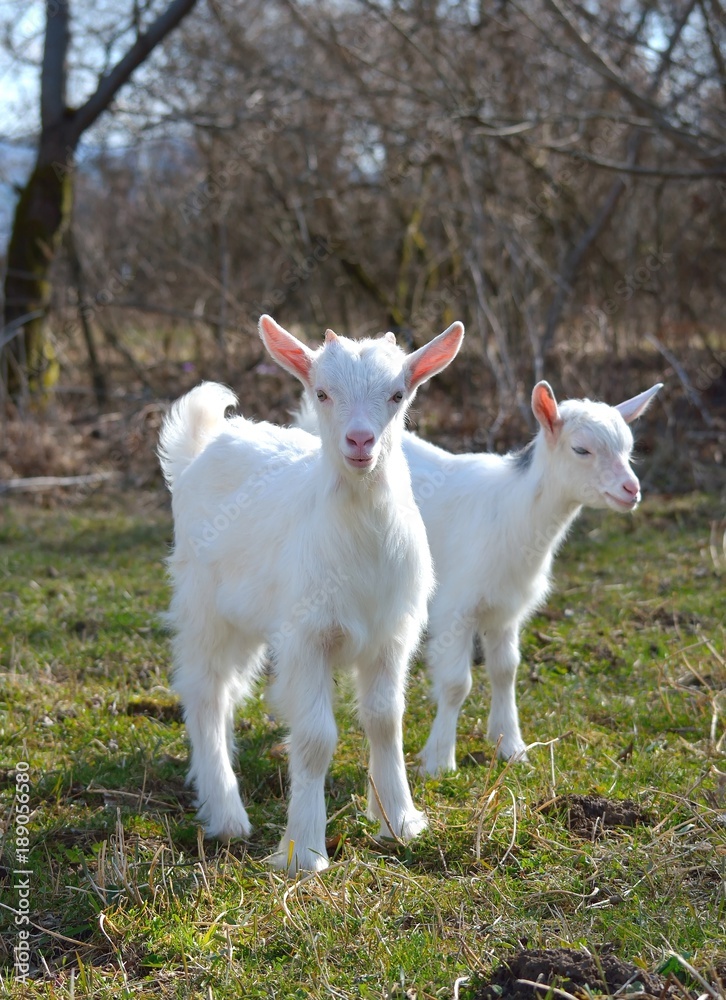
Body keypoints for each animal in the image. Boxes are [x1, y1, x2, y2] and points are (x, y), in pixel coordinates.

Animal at [158, 314, 464, 872]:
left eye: (397, 394)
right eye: (321, 392)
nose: (360, 441)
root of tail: (205, 447)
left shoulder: (391, 635)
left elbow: (386, 720)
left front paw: (400, 822)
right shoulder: (307, 636)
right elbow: (316, 737)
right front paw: (303, 852)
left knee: (228, 691)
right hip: (204, 606)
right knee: (205, 692)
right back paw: (227, 814)